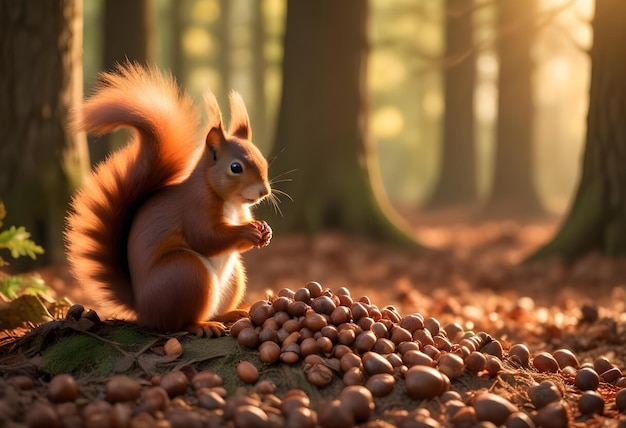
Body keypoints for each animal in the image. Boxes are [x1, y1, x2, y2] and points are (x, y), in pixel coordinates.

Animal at [64, 63, 272, 336]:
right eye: (235, 167)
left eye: (263, 160)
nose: (264, 192)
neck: (232, 204)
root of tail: (143, 309)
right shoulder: (195, 208)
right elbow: (206, 237)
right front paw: (247, 231)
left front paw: (265, 231)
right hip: (186, 273)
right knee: (179, 322)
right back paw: (203, 326)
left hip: (233, 276)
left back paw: (231, 313)